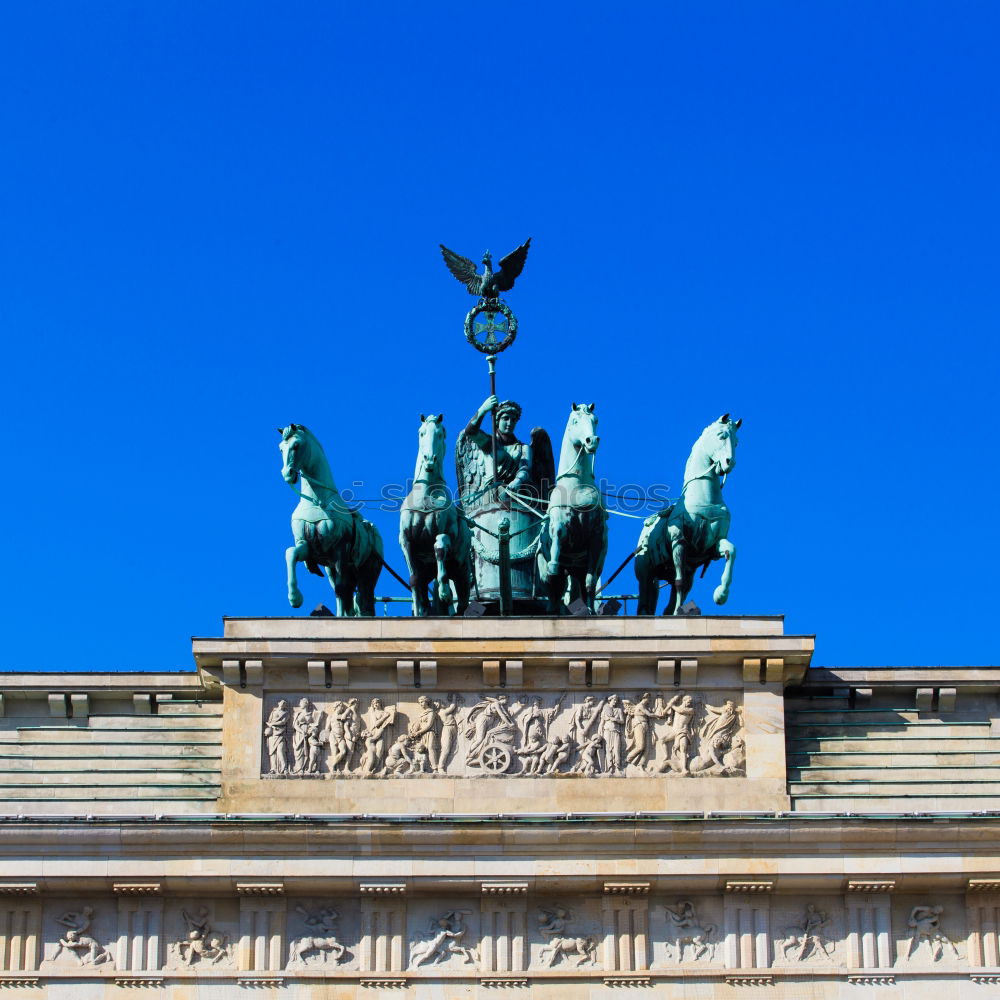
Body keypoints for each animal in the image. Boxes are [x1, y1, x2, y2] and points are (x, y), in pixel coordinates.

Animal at [280, 424, 384, 612]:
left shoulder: (340, 550)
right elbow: (291, 553)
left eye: (296, 445)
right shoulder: (307, 546)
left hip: (367, 573)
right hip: (332, 569)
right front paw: (294, 597)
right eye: (280, 448)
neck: (316, 500)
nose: (287, 473)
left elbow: (342, 589)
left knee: (361, 598)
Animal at [398, 414, 472, 616]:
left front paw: (445, 590)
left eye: (441, 434)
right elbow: (414, 581)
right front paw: (419, 611)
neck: (426, 494)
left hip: (461, 571)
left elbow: (439, 546)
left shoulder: (447, 533)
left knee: (462, 600)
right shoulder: (406, 541)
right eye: (421, 433)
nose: (430, 459)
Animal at [540, 402, 608, 612]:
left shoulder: (596, 538)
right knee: (553, 592)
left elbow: (590, 582)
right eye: (575, 421)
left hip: (578, 569)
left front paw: (590, 611)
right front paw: (554, 563)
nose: (591, 440)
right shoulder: (559, 523)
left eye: (595, 420)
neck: (577, 484)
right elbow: (557, 534)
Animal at [636, 410, 740, 612]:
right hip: (646, 574)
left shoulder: (712, 545)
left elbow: (731, 550)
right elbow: (680, 582)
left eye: (737, 441)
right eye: (721, 435)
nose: (729, 463)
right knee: (645, 601)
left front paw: (721, 594)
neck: (704, 497)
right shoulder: (679, 541)